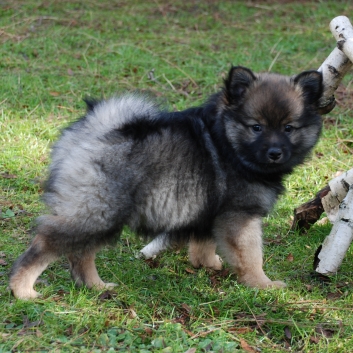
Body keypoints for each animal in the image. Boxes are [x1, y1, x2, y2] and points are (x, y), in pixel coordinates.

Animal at [8, 65, 322, 296]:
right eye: (256, 127)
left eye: (289, 128)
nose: (275, 152)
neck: (228, 142)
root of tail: (94, 129)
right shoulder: (240, 215)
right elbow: (251, 255)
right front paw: (263, 284)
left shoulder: (209, 210)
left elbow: (204, 242)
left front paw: (208, 264)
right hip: (96, 211)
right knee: (46, 242)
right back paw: (22, 289)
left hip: (103, 215)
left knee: (81, 254)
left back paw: (95, 286)